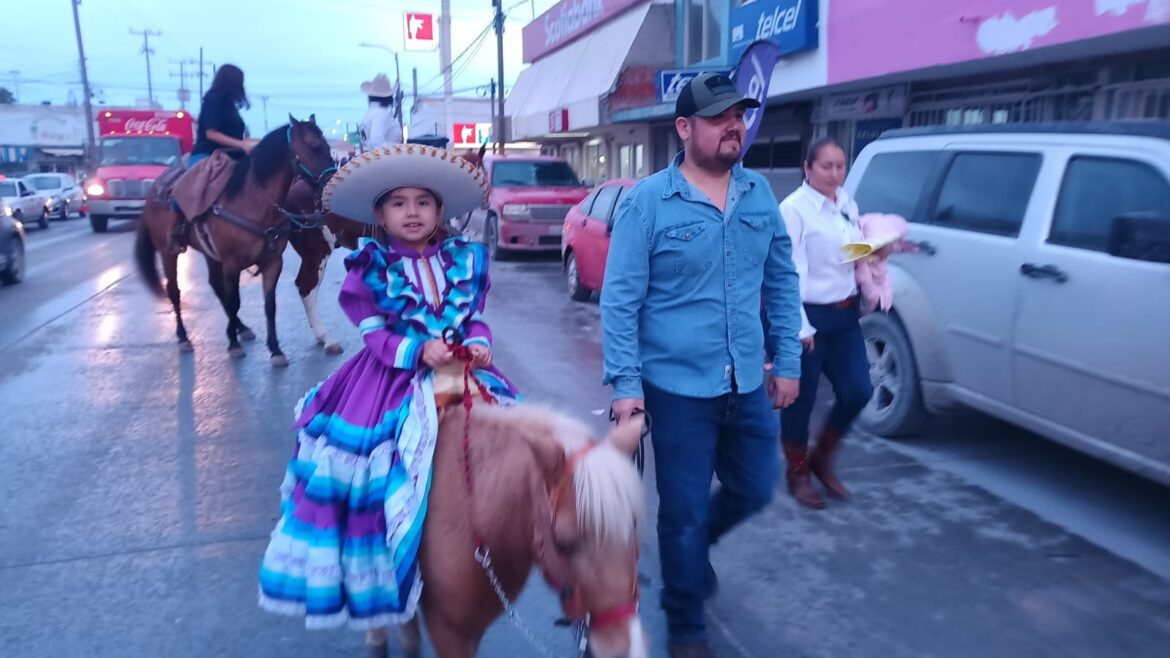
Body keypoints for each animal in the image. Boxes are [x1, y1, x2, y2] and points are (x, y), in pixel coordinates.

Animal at [138, 116, 339, 362]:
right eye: (314, 146)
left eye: (328, 146)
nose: (331, 181)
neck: (254, 202)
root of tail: (154, 190)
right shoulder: (232, 263)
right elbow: (235, 301)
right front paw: (233, 344)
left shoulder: (272, 262)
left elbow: (269, 305)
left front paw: (275, 349)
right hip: (169, 252)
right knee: (174, 291)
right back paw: (184, 337)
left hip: (211, 254)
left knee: (215, 285)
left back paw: (240, 328)